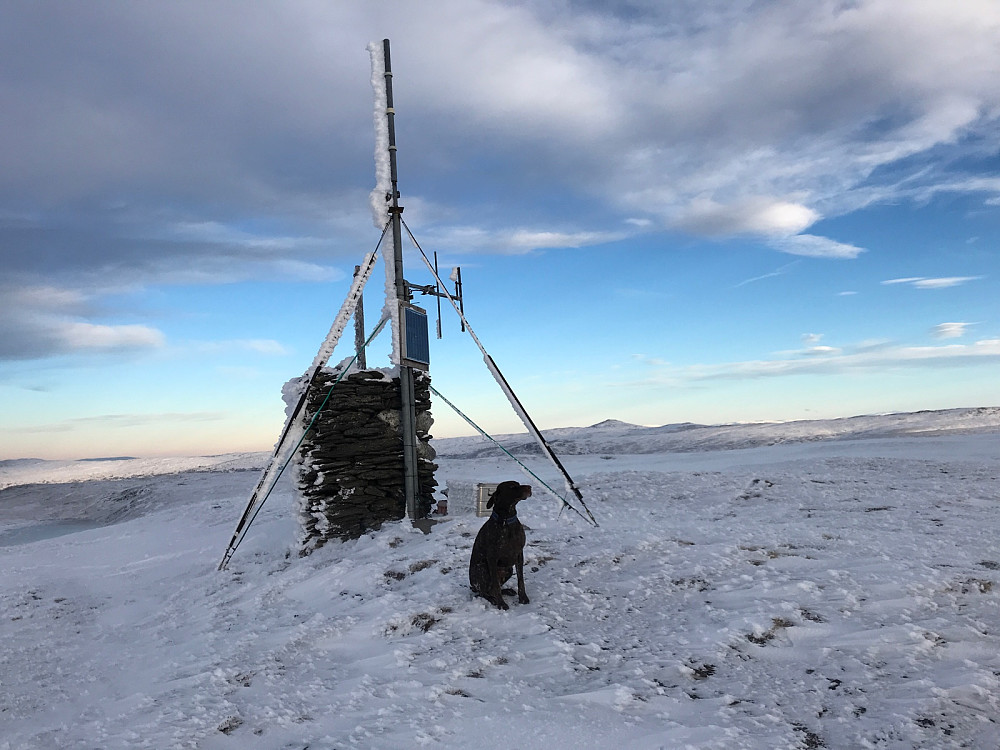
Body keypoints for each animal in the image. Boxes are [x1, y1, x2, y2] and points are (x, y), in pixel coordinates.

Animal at [468, 482, 532, 612]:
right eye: (512, 487)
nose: (530, 488)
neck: (506, 520)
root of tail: (473, 585)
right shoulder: (492, 558)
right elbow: (496, 586)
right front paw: (501, 604)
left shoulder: (519, 554)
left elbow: (521, 579)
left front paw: (523, 598)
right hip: (482, 568)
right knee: (485, 592)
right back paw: (493, 599)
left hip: (508, 569)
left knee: (491, 589)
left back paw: (507, 591)